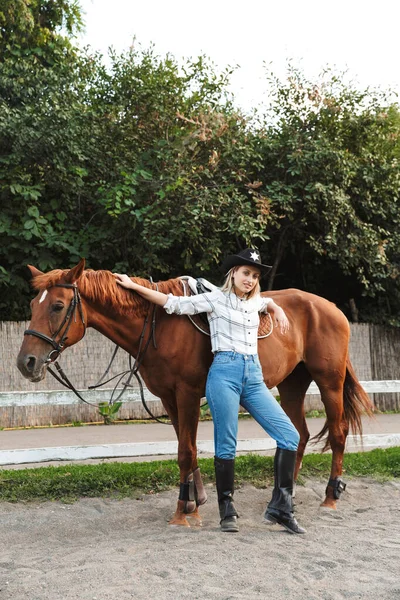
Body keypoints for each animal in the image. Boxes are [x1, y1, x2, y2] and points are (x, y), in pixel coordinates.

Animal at [15, 258, 372, 524]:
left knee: (338, 432)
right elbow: (185, 447)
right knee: (299, 434)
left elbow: (185, 451)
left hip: (329, 382)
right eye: (32, 304)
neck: (160, 322)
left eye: (57, 306)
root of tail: (332, 308)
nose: (26, 362)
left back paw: (330, 497)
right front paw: (194, 501)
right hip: (292, 384)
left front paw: (182, 512)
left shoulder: (186, 394)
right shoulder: (169, 398)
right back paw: (288, 493)